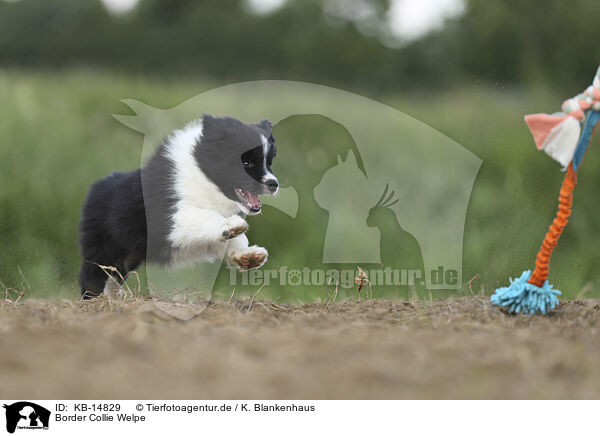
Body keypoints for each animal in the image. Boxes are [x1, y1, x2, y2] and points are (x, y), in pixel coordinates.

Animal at [77, 114, 278, 298]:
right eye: (246, 163)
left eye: (269, 163)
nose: (274, 184)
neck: (204, 174)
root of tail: (95, 187)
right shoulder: (169, 216)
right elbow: (206, 215)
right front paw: (232, 224)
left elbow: (230, 238)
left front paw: (248, 255)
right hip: (105, 248)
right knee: (92, 276)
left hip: (128, 256)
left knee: (114, 276)